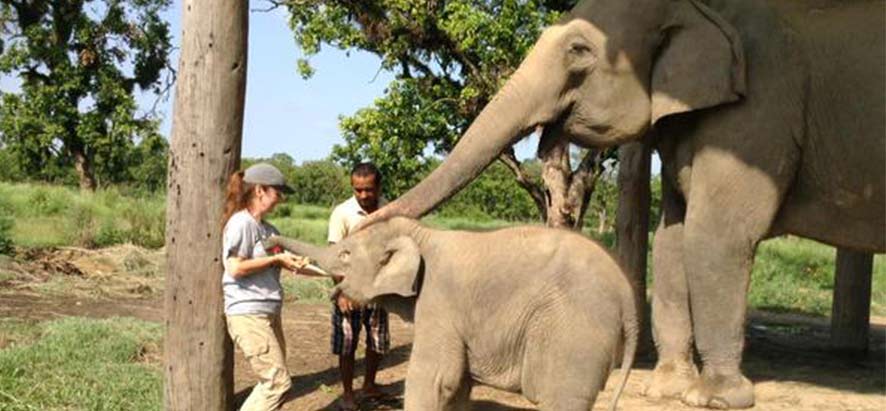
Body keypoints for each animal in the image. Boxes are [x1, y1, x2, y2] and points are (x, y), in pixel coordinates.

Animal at [266, 217, 640, 410]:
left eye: (344, 255)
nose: (270, 242)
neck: (422, 234)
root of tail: (629, 300)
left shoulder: (439, 303)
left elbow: (434, 379)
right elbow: (458, 387)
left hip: (575, 335)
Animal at [362, 0, 886, 408]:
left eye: (579, 50)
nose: (367, 222)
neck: (701, 7)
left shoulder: (760, 107)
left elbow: (717, 235)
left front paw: (714, 398)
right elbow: (673, 237)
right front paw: (667, 390)